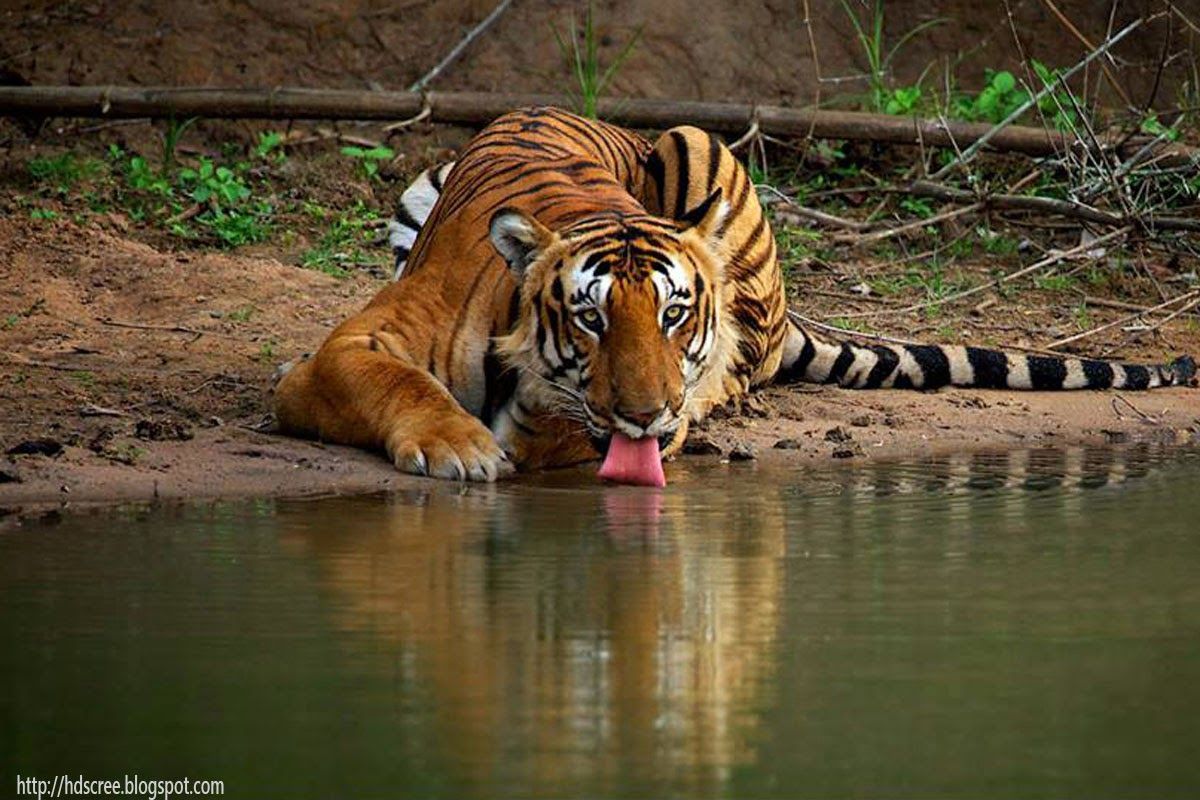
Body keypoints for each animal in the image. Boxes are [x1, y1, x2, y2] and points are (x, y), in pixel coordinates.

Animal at [275, 106, 1196, 484]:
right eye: (590, 318)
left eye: (674, 315)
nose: (647, 417)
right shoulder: (345, 347)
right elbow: (393, 381)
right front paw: (460, 447)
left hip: (698, 144)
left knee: (748, 364)